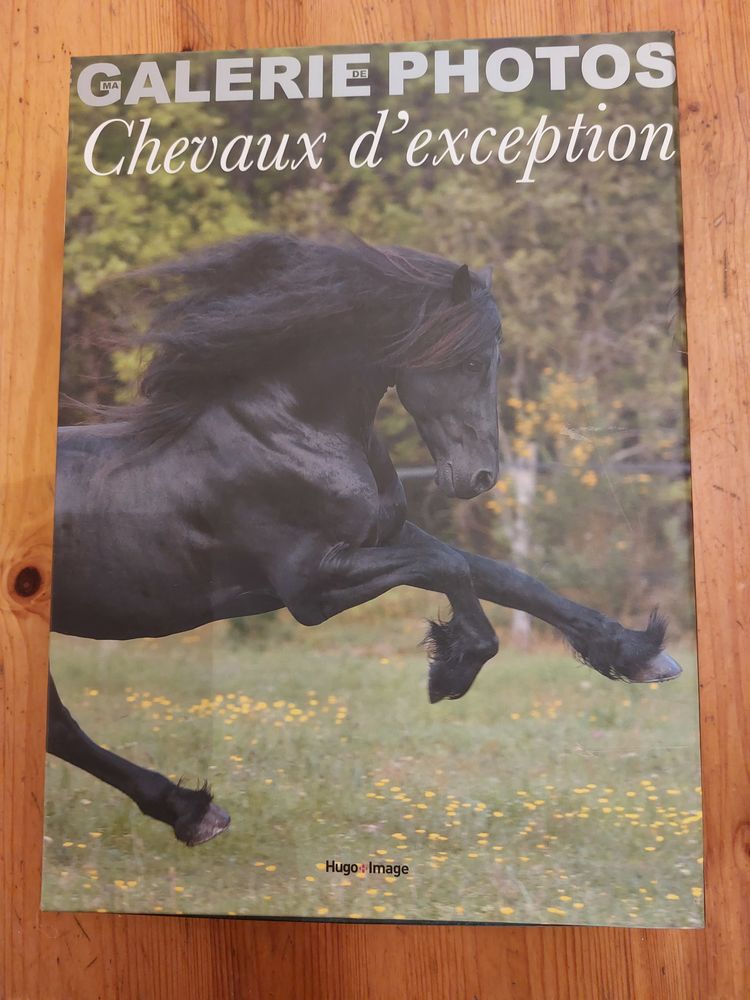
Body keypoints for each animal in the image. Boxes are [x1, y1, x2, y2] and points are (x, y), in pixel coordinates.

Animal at [47, 232, 681, 847]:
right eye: (472, 359)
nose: (480, 477)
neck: (291, 428)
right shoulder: (310, 587)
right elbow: (451, 568)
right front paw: (453, 667)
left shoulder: (385, 534)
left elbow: (504, 576)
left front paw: (640, 655)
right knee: (62, 729)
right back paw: (194, 812)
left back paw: (189, 812)